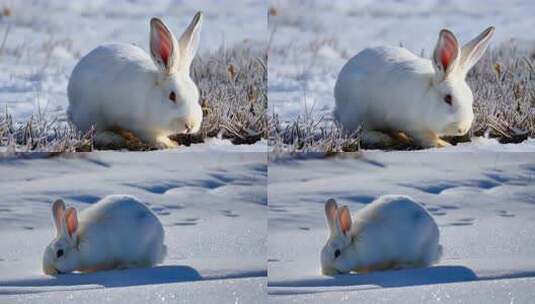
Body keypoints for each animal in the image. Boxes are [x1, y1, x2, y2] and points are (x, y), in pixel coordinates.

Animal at [68, 12, 204, 149]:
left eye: (196, 95)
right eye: (172, 96)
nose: (190, 125)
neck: (152, 95)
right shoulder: (142, 129)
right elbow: (154, 138)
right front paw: (170, 144)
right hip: (91, 115)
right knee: (92, 133)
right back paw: (114, 138)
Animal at [338, 26, 496, 148]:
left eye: (470, 98)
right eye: (448, 99)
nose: (462, 128)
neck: (427, 97)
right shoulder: (413, 126)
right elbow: (426, 138)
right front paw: (443, 145)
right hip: (356, 113)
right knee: (357, 132)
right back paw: (383, 138)